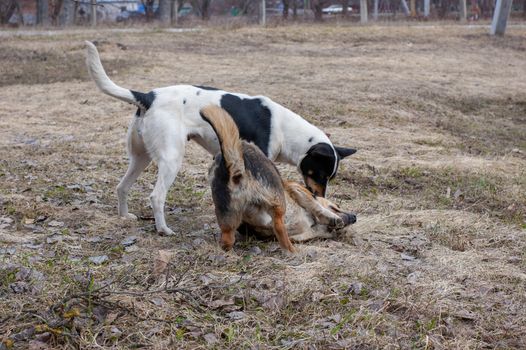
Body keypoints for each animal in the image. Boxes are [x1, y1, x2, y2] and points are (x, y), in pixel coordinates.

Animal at [85, 42, 358, 237]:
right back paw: (163, 229)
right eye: (319, 174)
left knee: (122, 187)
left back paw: (124, 216)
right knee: (156, 196)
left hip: (140, 158)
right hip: (171, 159)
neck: (284, 129)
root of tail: (148, 97)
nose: (317, 195)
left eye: (329, 177)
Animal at [202, 106, 358, 252]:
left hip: (228, 218)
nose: (355, 217)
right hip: (277, 199)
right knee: (278, 224)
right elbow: (317, 206)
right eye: (336, 206)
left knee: (227, 239)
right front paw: (333, 219)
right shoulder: (298, 189)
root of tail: (236, 169)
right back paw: (293, 251)